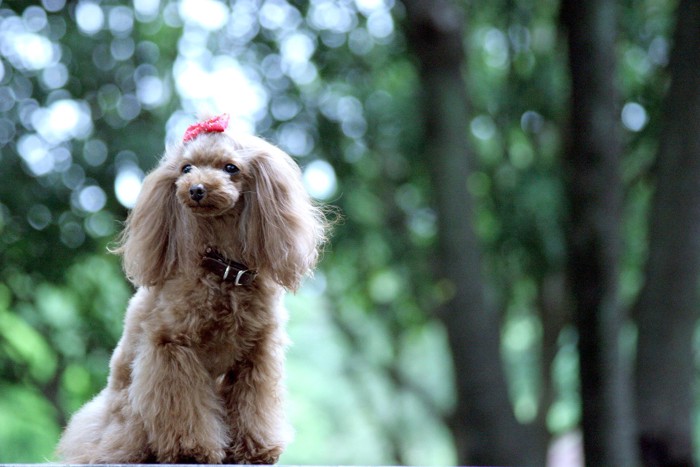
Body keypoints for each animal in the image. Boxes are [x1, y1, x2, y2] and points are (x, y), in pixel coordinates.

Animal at [56, 114, 328, 464]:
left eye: (230, 167)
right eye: (186, 168)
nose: (196, 189)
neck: (224, 270)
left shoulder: (257, 354)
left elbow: (253, 405)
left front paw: (255, 450)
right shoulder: (172, 348)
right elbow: (184, 408)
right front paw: (193, 450)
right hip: (126, 413)